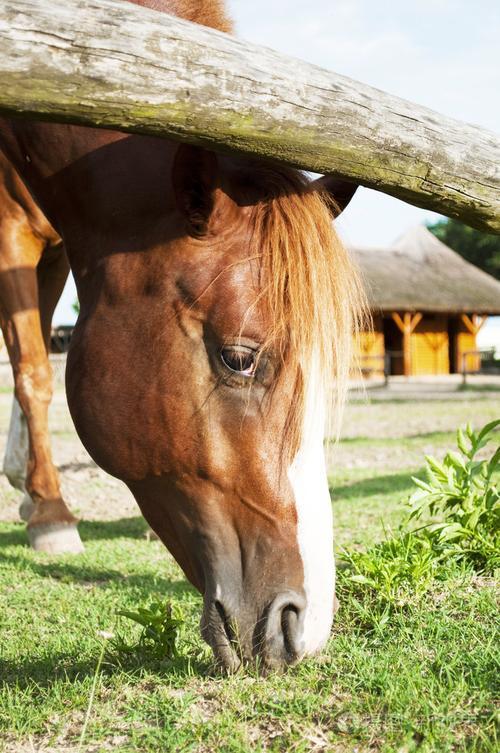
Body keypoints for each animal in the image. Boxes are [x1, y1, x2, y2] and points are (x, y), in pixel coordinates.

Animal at [0, 0, 368, 668]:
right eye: (239, 359)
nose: (304, 627)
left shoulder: (59, 248)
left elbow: (31, 350)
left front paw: (35, 494)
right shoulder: (9, 232)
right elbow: (34, 370)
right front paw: (51, 516)